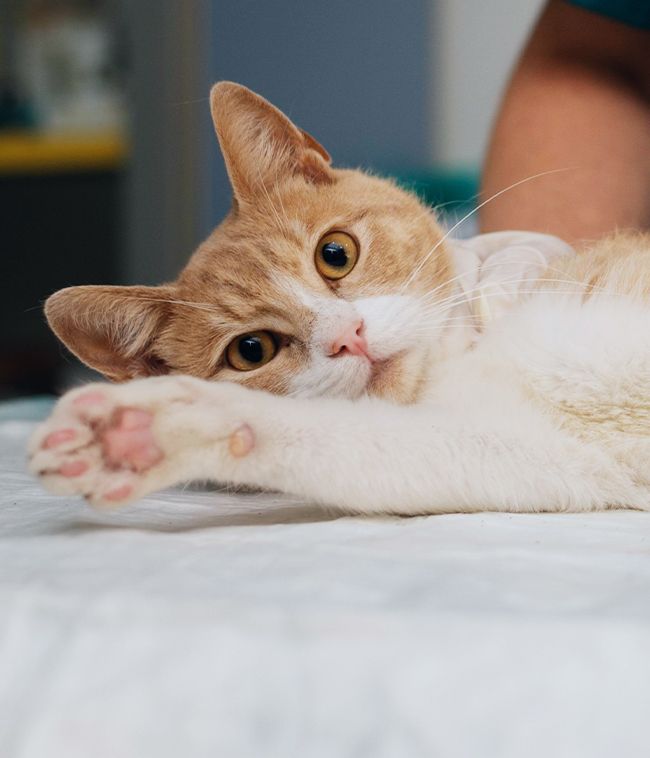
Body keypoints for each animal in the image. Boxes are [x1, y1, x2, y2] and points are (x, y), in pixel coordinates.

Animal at [27, 81, 648, 516]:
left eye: (335, 254)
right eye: (251, 351)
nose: (350, 336)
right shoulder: (537, 451)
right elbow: (334, 442)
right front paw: (143, 431)